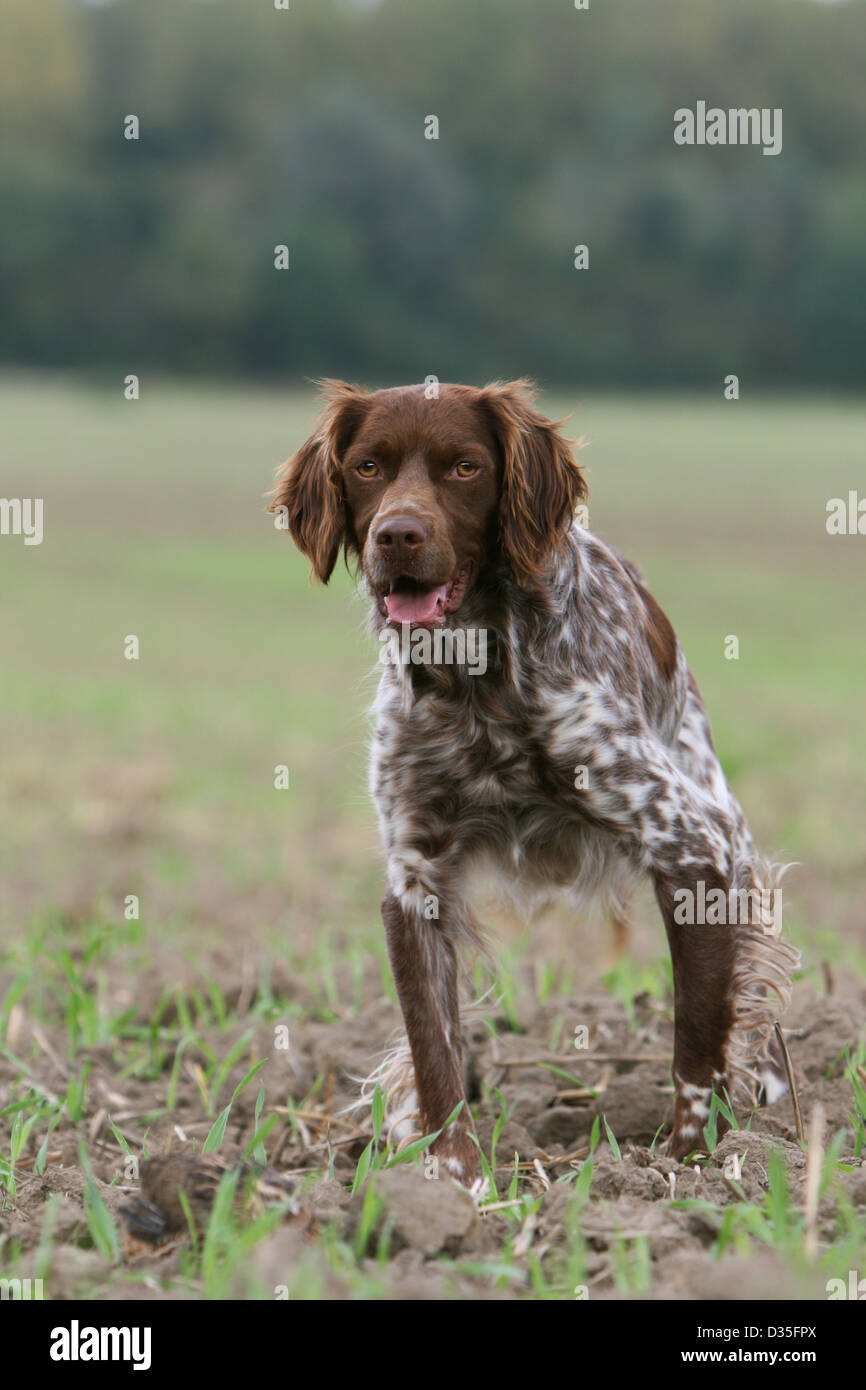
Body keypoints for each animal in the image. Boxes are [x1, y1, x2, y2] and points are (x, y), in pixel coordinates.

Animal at [271, 380, 800, 1184]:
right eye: (367, 467)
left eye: (465, 467)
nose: (397, 535)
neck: (477, 681)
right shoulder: (416, 880)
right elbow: (435, 1054)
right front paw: (455, 1182)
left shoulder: (690, 847)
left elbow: (698, 1041)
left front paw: (684, 1170)